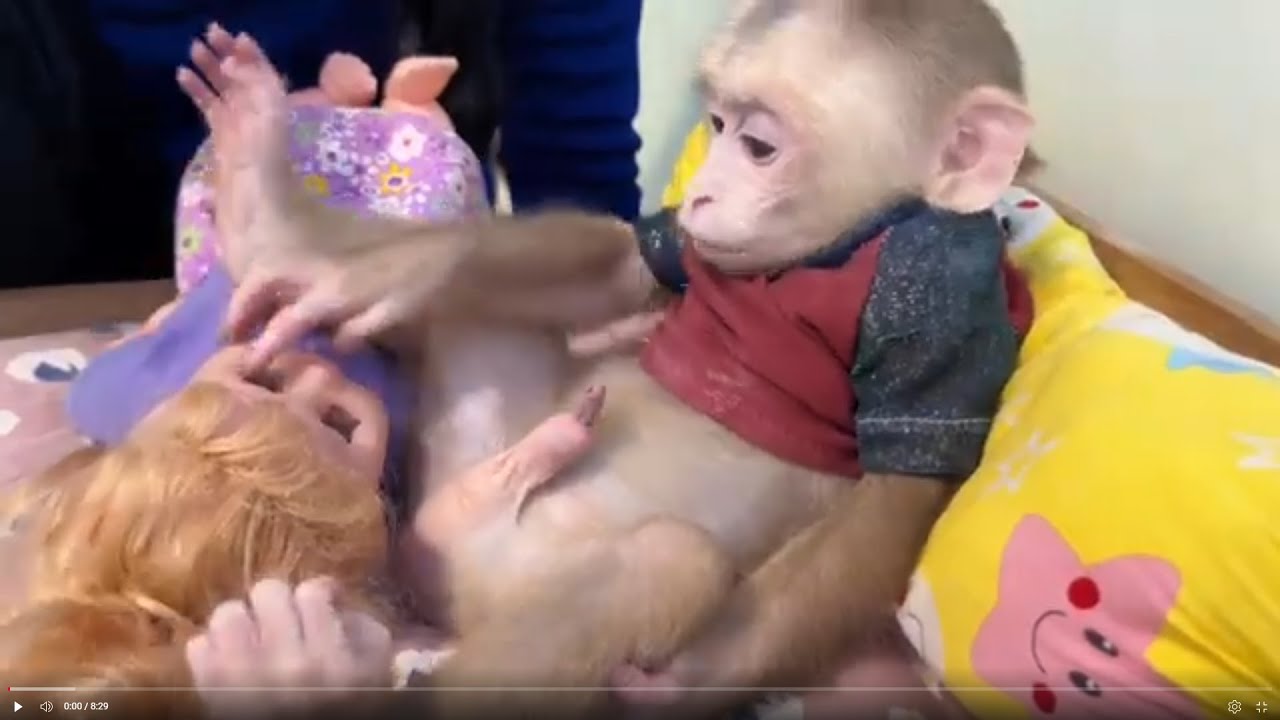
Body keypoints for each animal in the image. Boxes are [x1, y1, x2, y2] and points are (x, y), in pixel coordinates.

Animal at [184, 0, 1038, 716]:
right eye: (717, 126)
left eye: (759, 145)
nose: (704, 194)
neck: (843, 243)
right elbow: (627, 267)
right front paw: (373, 264)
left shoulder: (938, 300)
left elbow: (889, 503)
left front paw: (676, 692)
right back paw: (269, 216)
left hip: (514, 578)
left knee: (672, 561)